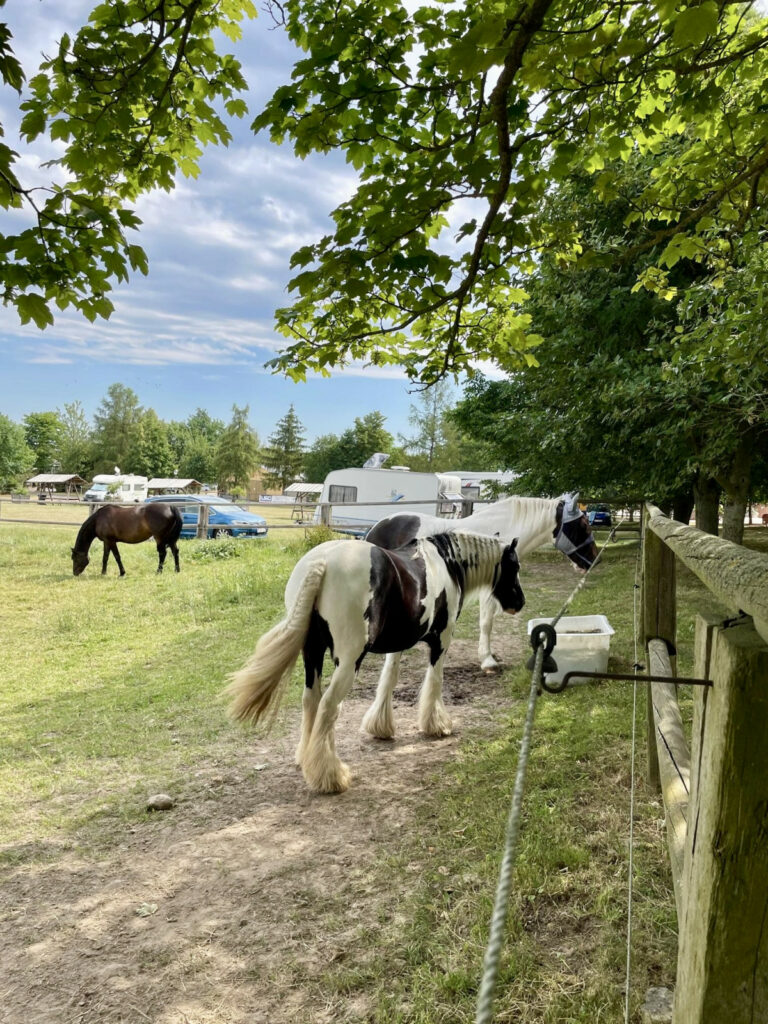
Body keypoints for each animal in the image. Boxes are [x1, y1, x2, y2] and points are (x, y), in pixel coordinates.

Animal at [227, 532, 524, 794]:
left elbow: (389, 679)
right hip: (348, 661)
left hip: (312, 654)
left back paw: (308, 758)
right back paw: (331, 776)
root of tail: (321, 562)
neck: (445, 562)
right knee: (328, 706)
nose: (519, 603)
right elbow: (435, 681)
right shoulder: (441, 640)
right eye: (515, 566)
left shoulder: (398, 645)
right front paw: (436, 725)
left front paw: (381, 727)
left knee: (311, 701)